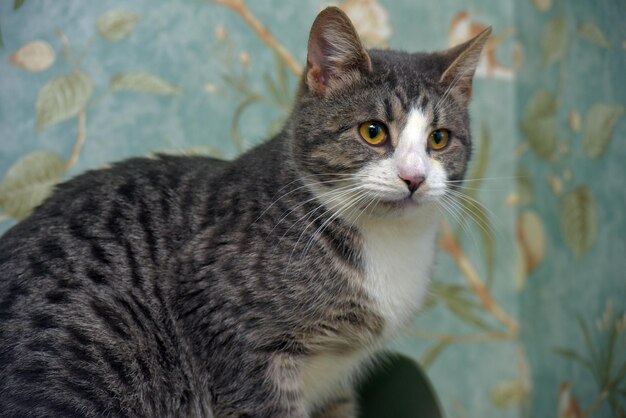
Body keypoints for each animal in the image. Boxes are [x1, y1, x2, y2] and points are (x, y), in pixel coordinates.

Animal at [0, 6, 488, 418]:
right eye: (373, 131)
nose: (414, 177)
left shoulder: (335, 385)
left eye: (439, 139)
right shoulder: (233, 334)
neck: (387, 243)